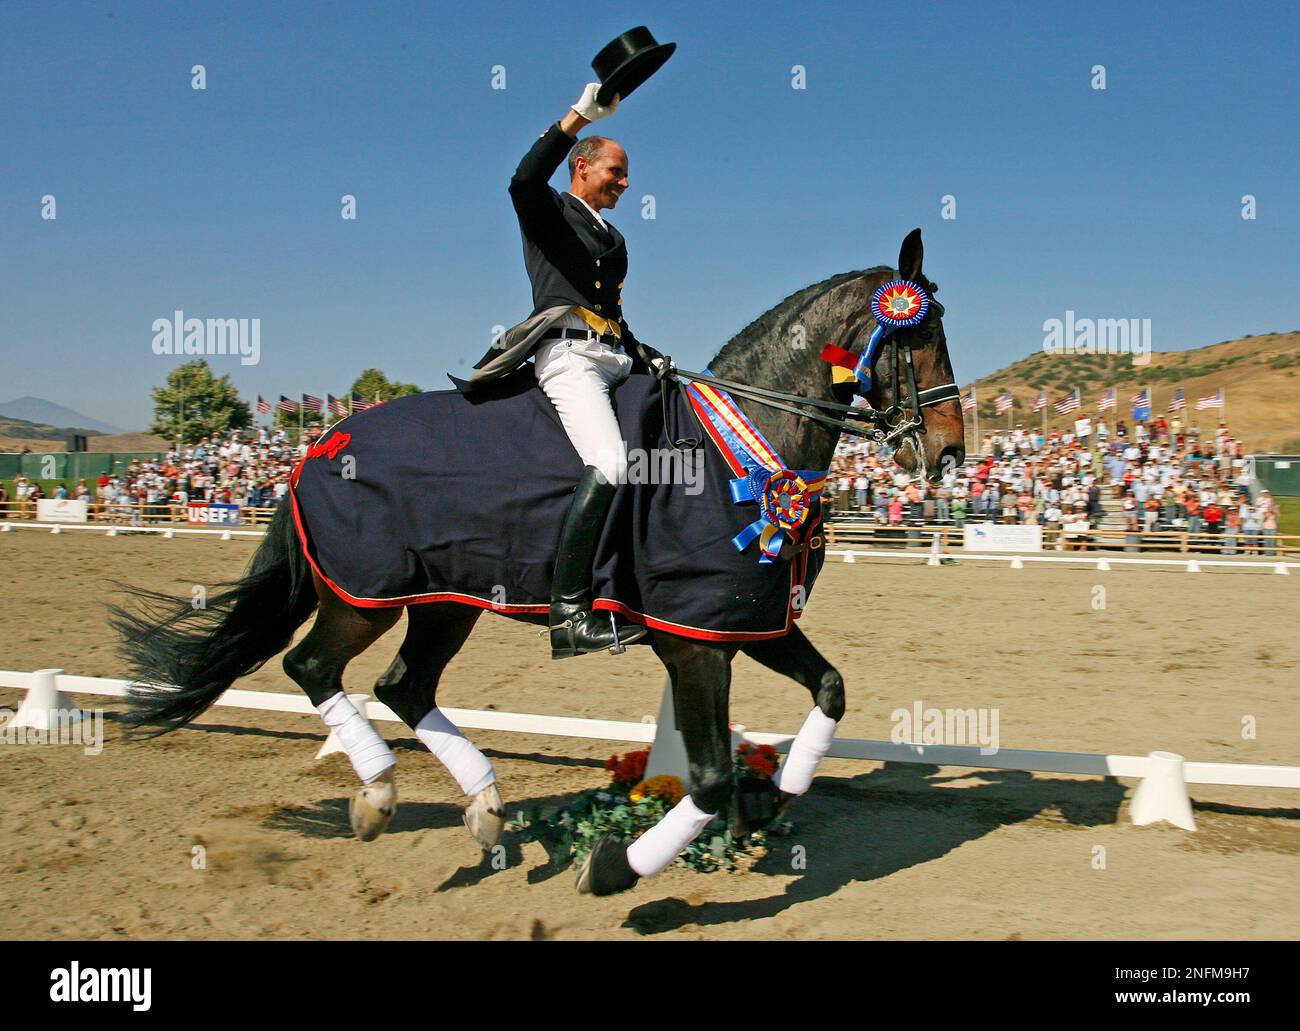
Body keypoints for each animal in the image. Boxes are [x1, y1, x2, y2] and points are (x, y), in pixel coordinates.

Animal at [112, 228, 965, 896]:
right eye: (919, 337)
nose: (951, 455)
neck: (746, 442)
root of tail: (321, 443)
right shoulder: (693, 638)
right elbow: (709, 775)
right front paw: (618, 866)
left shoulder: (747, 620)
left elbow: (830, 689)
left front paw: (773, 796)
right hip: (363, 595)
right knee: (313, 666)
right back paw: (380, 792)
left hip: (445, 599)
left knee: (402, 684)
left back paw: (483, 809)